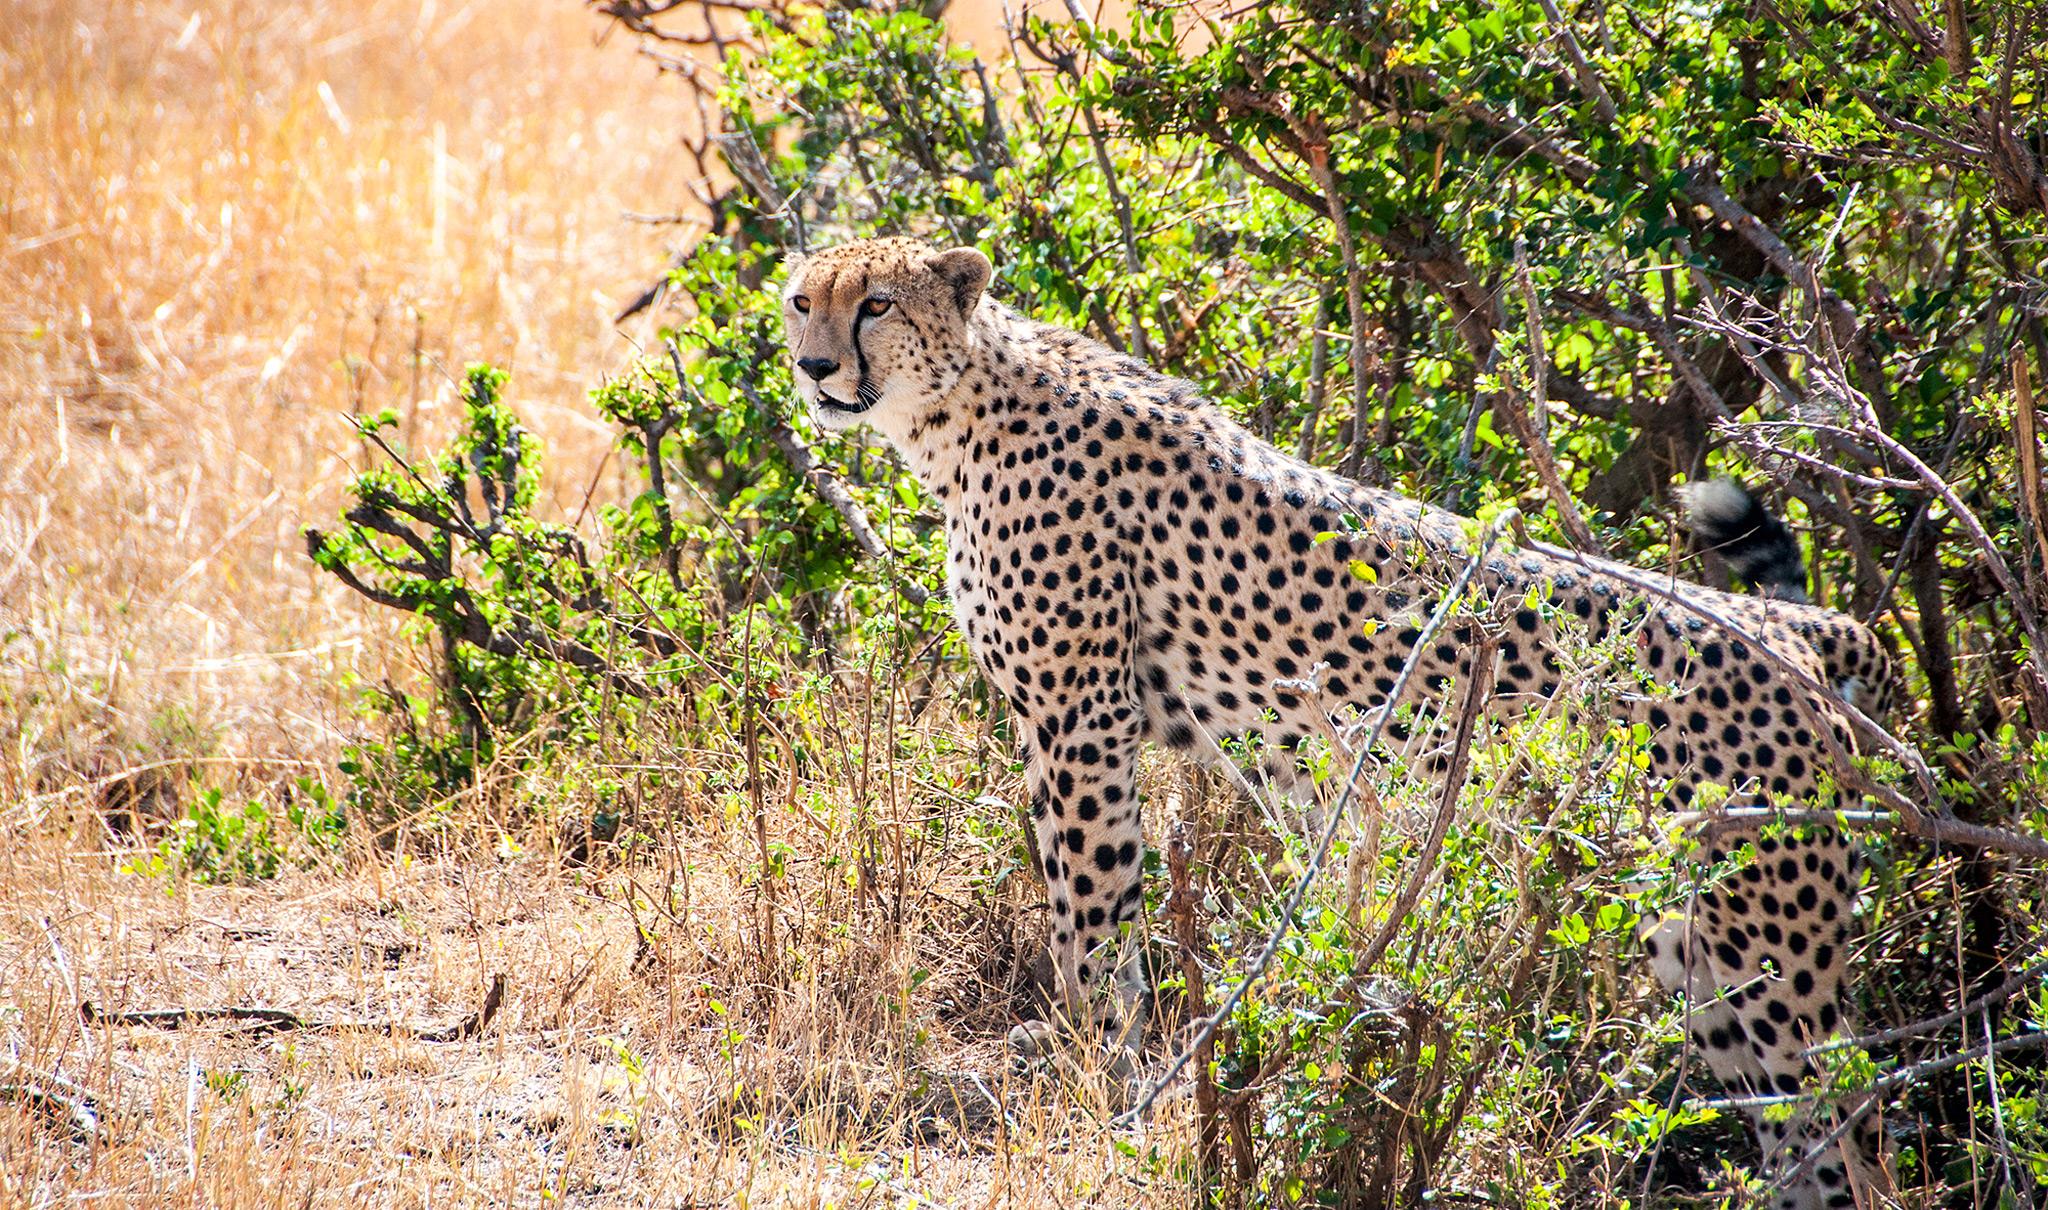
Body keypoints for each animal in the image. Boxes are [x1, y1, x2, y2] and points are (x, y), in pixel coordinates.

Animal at [782, 239, 1900, 1210]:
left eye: (875, 304)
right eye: (802, 300)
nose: (813, 366)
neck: (961, 405)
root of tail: (1797, 629)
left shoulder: (1078, 725)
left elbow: (1093, 937)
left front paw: (1105, 1097)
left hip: (1768, 944)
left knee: (1855, 1130)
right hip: (1697, 945)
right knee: (1794, 1136)